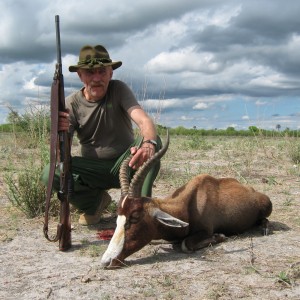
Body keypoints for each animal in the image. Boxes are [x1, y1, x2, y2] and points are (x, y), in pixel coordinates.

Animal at [101, 132, 272, 268]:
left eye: (135, 217)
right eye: (118, 218)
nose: (106, 261)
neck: (189, 202)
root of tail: (251, 190)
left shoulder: (205, 230)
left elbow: (185, 244)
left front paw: (220, 236)